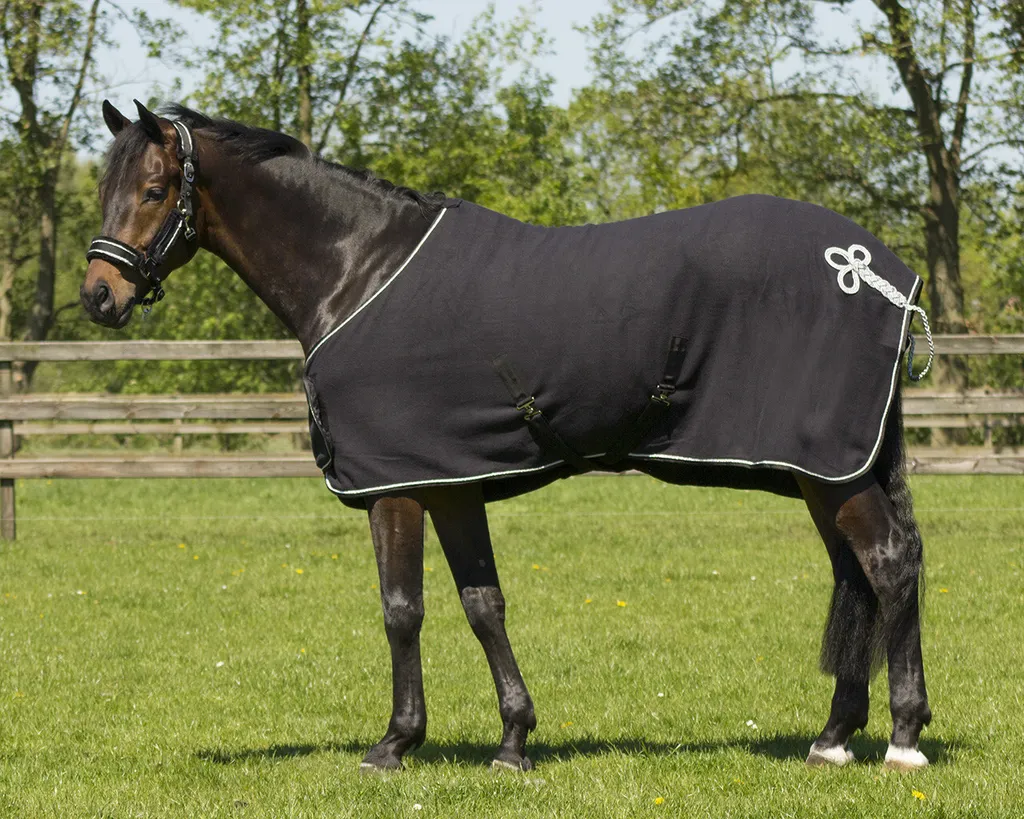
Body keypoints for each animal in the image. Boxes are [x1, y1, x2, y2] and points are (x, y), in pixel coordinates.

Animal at [82, 100, 932, 773]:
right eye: (103, 189)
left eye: (154, 190)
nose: (99, 295)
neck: (357, 270)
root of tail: (884, 276)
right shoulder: (452, 480)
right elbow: (482, 602)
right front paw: (514, 741)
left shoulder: (397, 483)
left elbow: (402, 608)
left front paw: (394, 743)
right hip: (825, 469)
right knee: (858, 573)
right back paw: (832, 737)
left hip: (831, 468)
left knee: (890, 564)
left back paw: (902, 737)